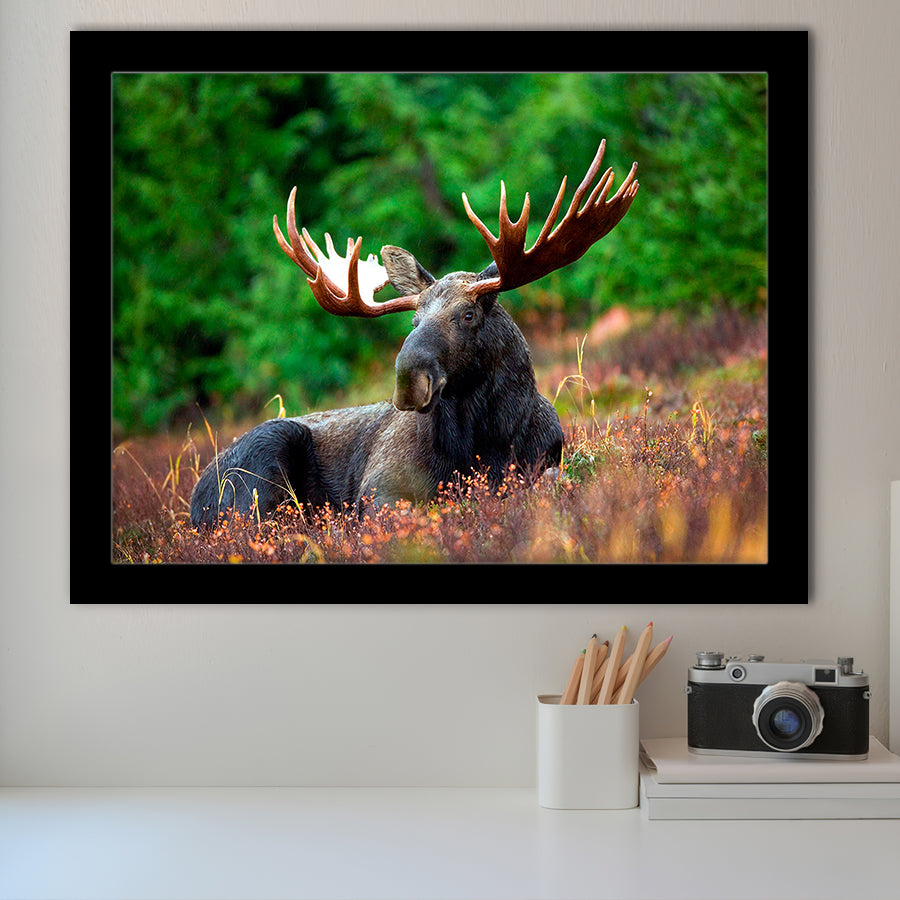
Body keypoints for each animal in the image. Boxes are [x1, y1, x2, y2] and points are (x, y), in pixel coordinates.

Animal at [190, 141, 639, 527]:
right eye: (413, 320)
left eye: (468, 314)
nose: (409, 380)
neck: (487, 440)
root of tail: (194, 502)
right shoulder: (379, 489)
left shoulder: (545, 462)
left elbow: (551, 482)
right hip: (264, 463)